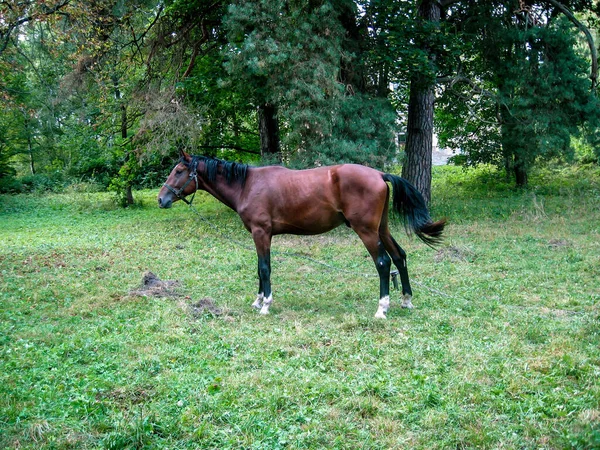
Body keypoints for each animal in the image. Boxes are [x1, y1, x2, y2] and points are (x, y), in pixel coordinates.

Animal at [159, 150, 446, 316]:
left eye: (179, 171)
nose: (161, 199)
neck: (247, 185)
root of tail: (378, 174)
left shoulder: (261, 233)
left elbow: (264, 268)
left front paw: (266, 304)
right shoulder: (259, 235)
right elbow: (259, 268)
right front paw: (258, 300)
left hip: (366, 231)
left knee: (384, 262)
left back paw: (382, 307)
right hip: (382, 228)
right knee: (399, 256)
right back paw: (406, 300)